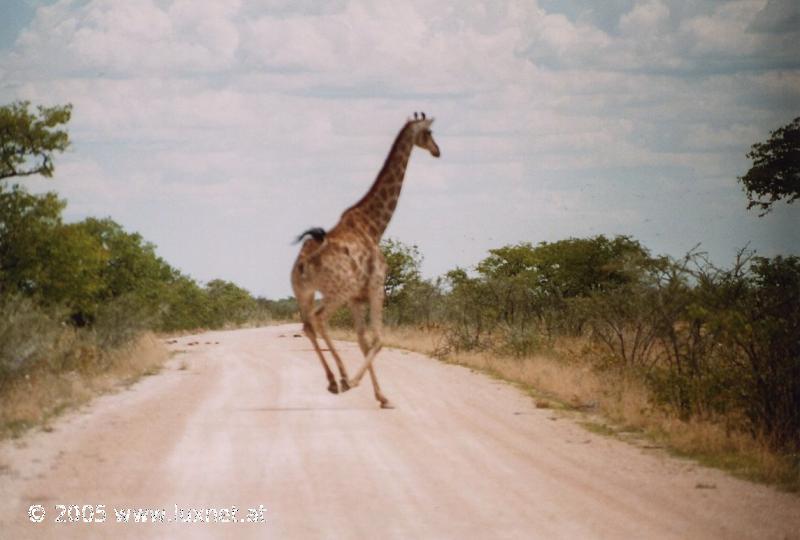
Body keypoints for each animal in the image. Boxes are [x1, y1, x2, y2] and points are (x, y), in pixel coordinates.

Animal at [290, 115, 440, 410]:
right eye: (429, 132)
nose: (437, 151)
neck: (374, 226)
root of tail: (303, 263)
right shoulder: (375, 286)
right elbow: (379, 339)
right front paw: (357, 383)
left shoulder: (356, 298)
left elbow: (363, 341)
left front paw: (382, 397)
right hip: (336, 291)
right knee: (319, 319)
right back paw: (342, 378)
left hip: (306, 293)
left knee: (308, 325)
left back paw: (333, 380)